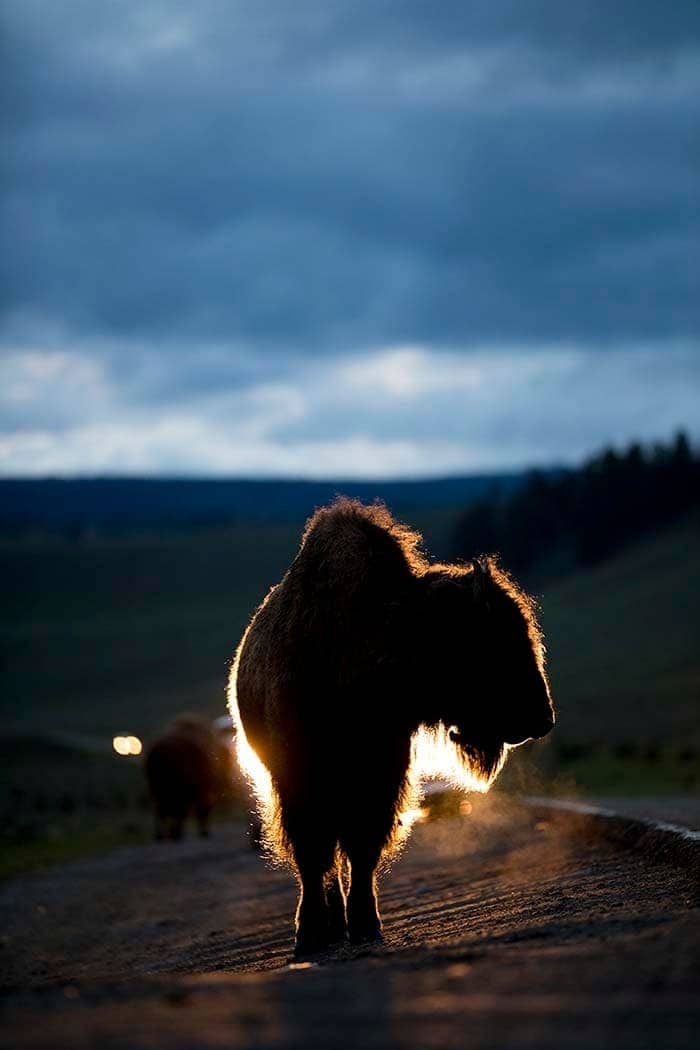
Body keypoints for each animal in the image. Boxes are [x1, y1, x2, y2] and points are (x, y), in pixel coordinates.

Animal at [144, 709, 232, 839]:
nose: (227, 782)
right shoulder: (202, 792)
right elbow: (200, 811)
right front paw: (203, 832)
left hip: (156, 787)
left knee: (160, 810)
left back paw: (161, 835)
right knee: (173, 810)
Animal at [227, 497, 554, 953]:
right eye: (489, 639)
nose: (543, 717)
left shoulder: (383, 771)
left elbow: (363, 848)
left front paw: (367, 926)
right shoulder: (297, 778)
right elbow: (313, 852)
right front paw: (310, 936)